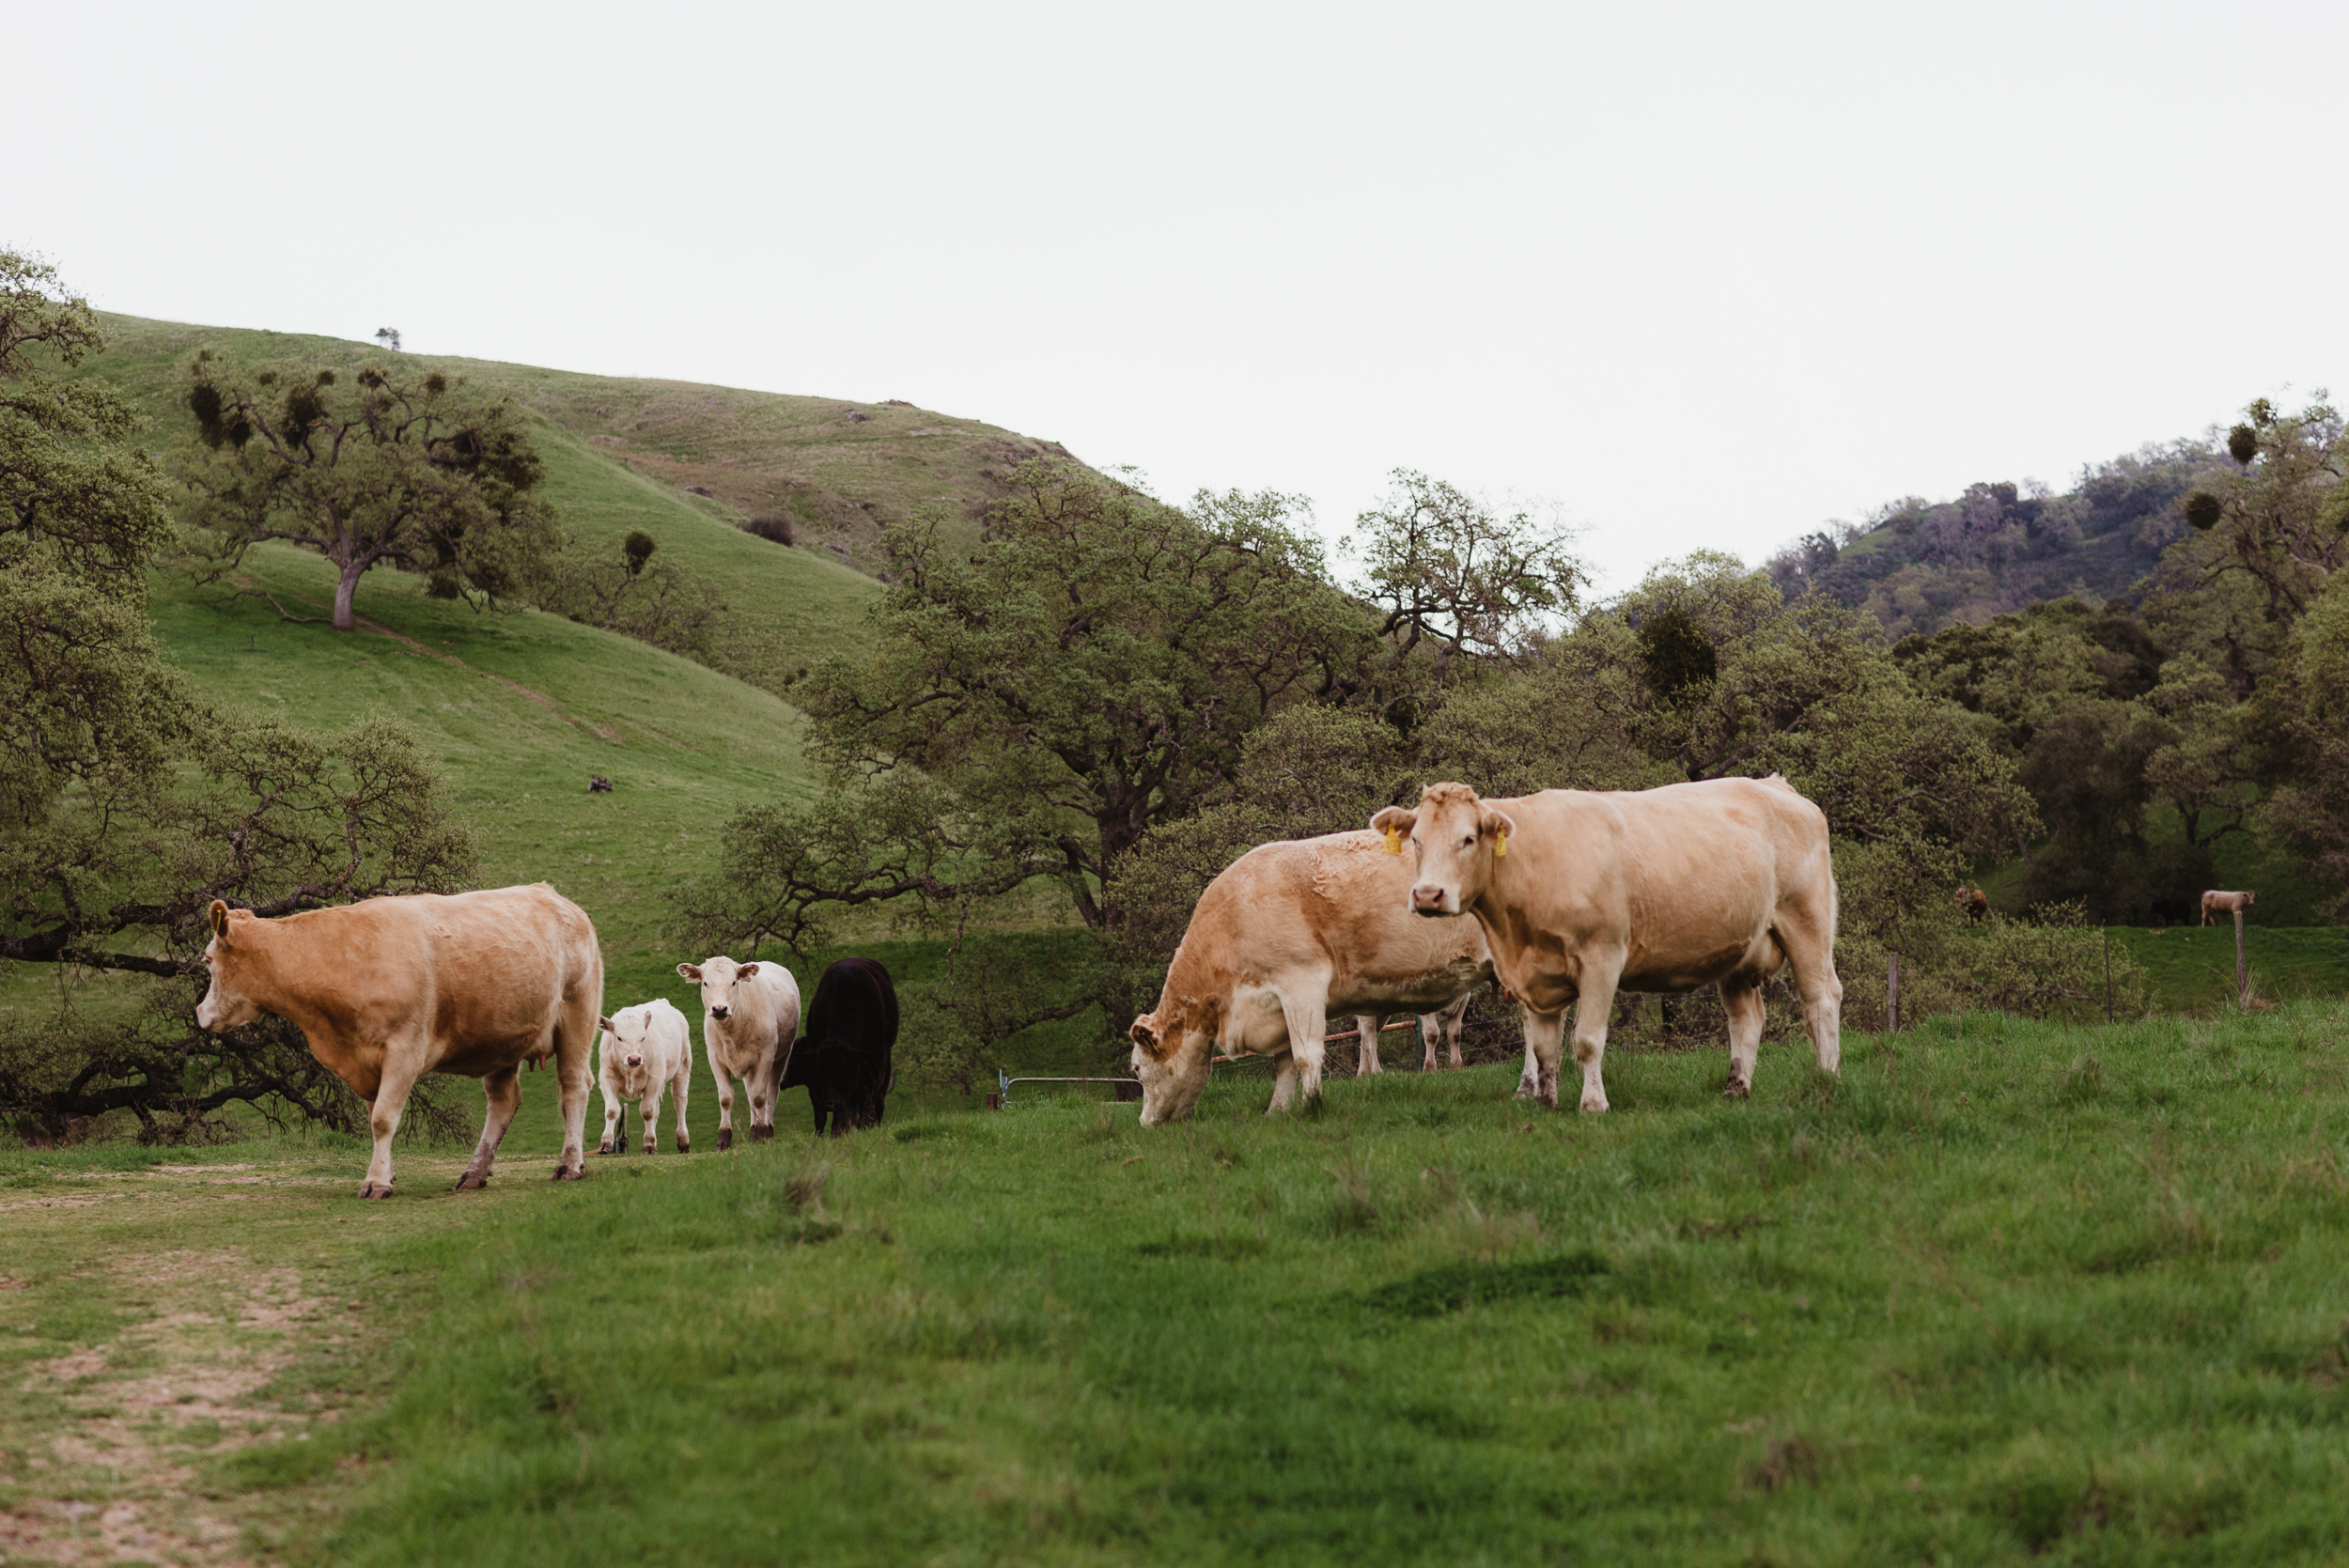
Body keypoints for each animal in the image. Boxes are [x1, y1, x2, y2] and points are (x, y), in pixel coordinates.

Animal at [195, 882, 601, 1202]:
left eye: (207, 959)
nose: (200, 1013)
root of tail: (554, 896)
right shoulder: (364, 1059)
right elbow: (375, 1116)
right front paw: (385, 1173)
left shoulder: (405, 1048)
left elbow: (383, 1119)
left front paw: (376, 1183)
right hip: (500, 1040)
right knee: (503, 1102)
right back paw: (474, 1173)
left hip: (577, 1015)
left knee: (574, 1087)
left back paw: (569, 1164)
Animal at [592, 1004, 691, 1150]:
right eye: (619, 1037)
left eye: (643, 1038)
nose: (634, 1059)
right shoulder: (607, 1079)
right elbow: (612, 1111)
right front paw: (606, 1143)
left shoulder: (654, 1081)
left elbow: (647, 1112)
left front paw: (649, 1144)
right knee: (657, 1109)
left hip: (682, 1067)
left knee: (679, 1102)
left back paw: (683, 1140)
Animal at [681, 948, 808, 1145]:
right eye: (705, 983)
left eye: (733, 982)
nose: (719, 1009)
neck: (732, 1034)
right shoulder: (715, 1058)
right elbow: (726, 1098)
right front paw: (724, 1138)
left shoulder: (765, 1057)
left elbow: (759, 1097)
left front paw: (763, 1134)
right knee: (750, 1093)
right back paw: (753, 1129)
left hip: (781, 1057)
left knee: (771, 1092)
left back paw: (767, 1128)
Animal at [1128, 826, 1494, 1122]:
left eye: (1137, 1069)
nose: (1144, 1123)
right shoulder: (1276, 1006)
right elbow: (1285, 1063)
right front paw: (1277, 1111)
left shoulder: (1299, 982)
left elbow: (1305, 1056)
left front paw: (1311, 1106)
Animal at [1372, 779, 1842, 1108]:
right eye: (1416, 841)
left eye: (1468, 839)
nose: (1428, 894)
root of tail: (1774, 784)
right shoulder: (1536, 971)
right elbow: (1544, 1047)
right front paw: (1545, 1103)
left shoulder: (1602, 957)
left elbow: (1586, 1039)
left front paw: (1593, 1105)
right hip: (1739, 951)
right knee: (1747, 1017)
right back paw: (1736, 1088)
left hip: (1806, 919)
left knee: (1821, 999)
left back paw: (1827, 1078)